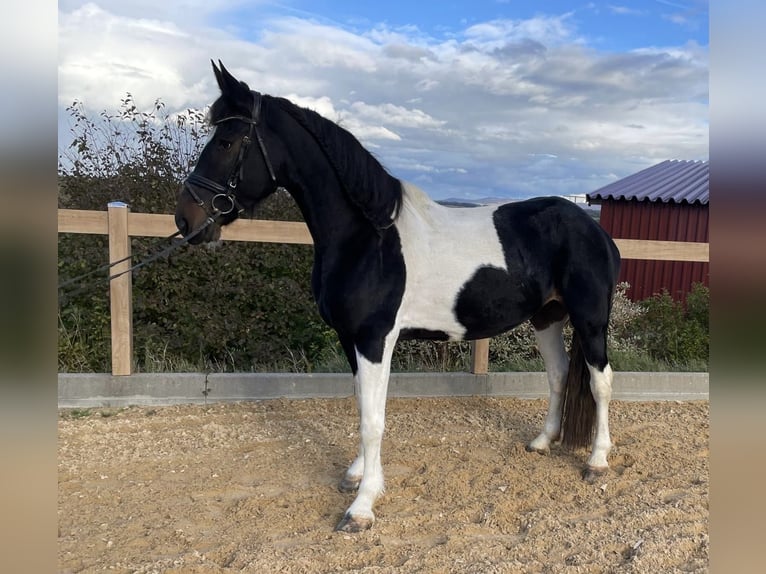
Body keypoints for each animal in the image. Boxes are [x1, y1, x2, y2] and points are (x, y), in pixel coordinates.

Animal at [175, 61, 621, 533]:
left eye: (226, 141)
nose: (185, 220)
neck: (368, 237)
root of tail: (594, 229)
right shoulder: (350, 339)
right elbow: (361, 406)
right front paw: (356, 474)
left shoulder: (375, 339)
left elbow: (373, 420)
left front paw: (362, 506)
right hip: (547, 317)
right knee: (558, 375)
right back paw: (542, 441)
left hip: (590, 319)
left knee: (600, 381)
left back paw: (597, 461)